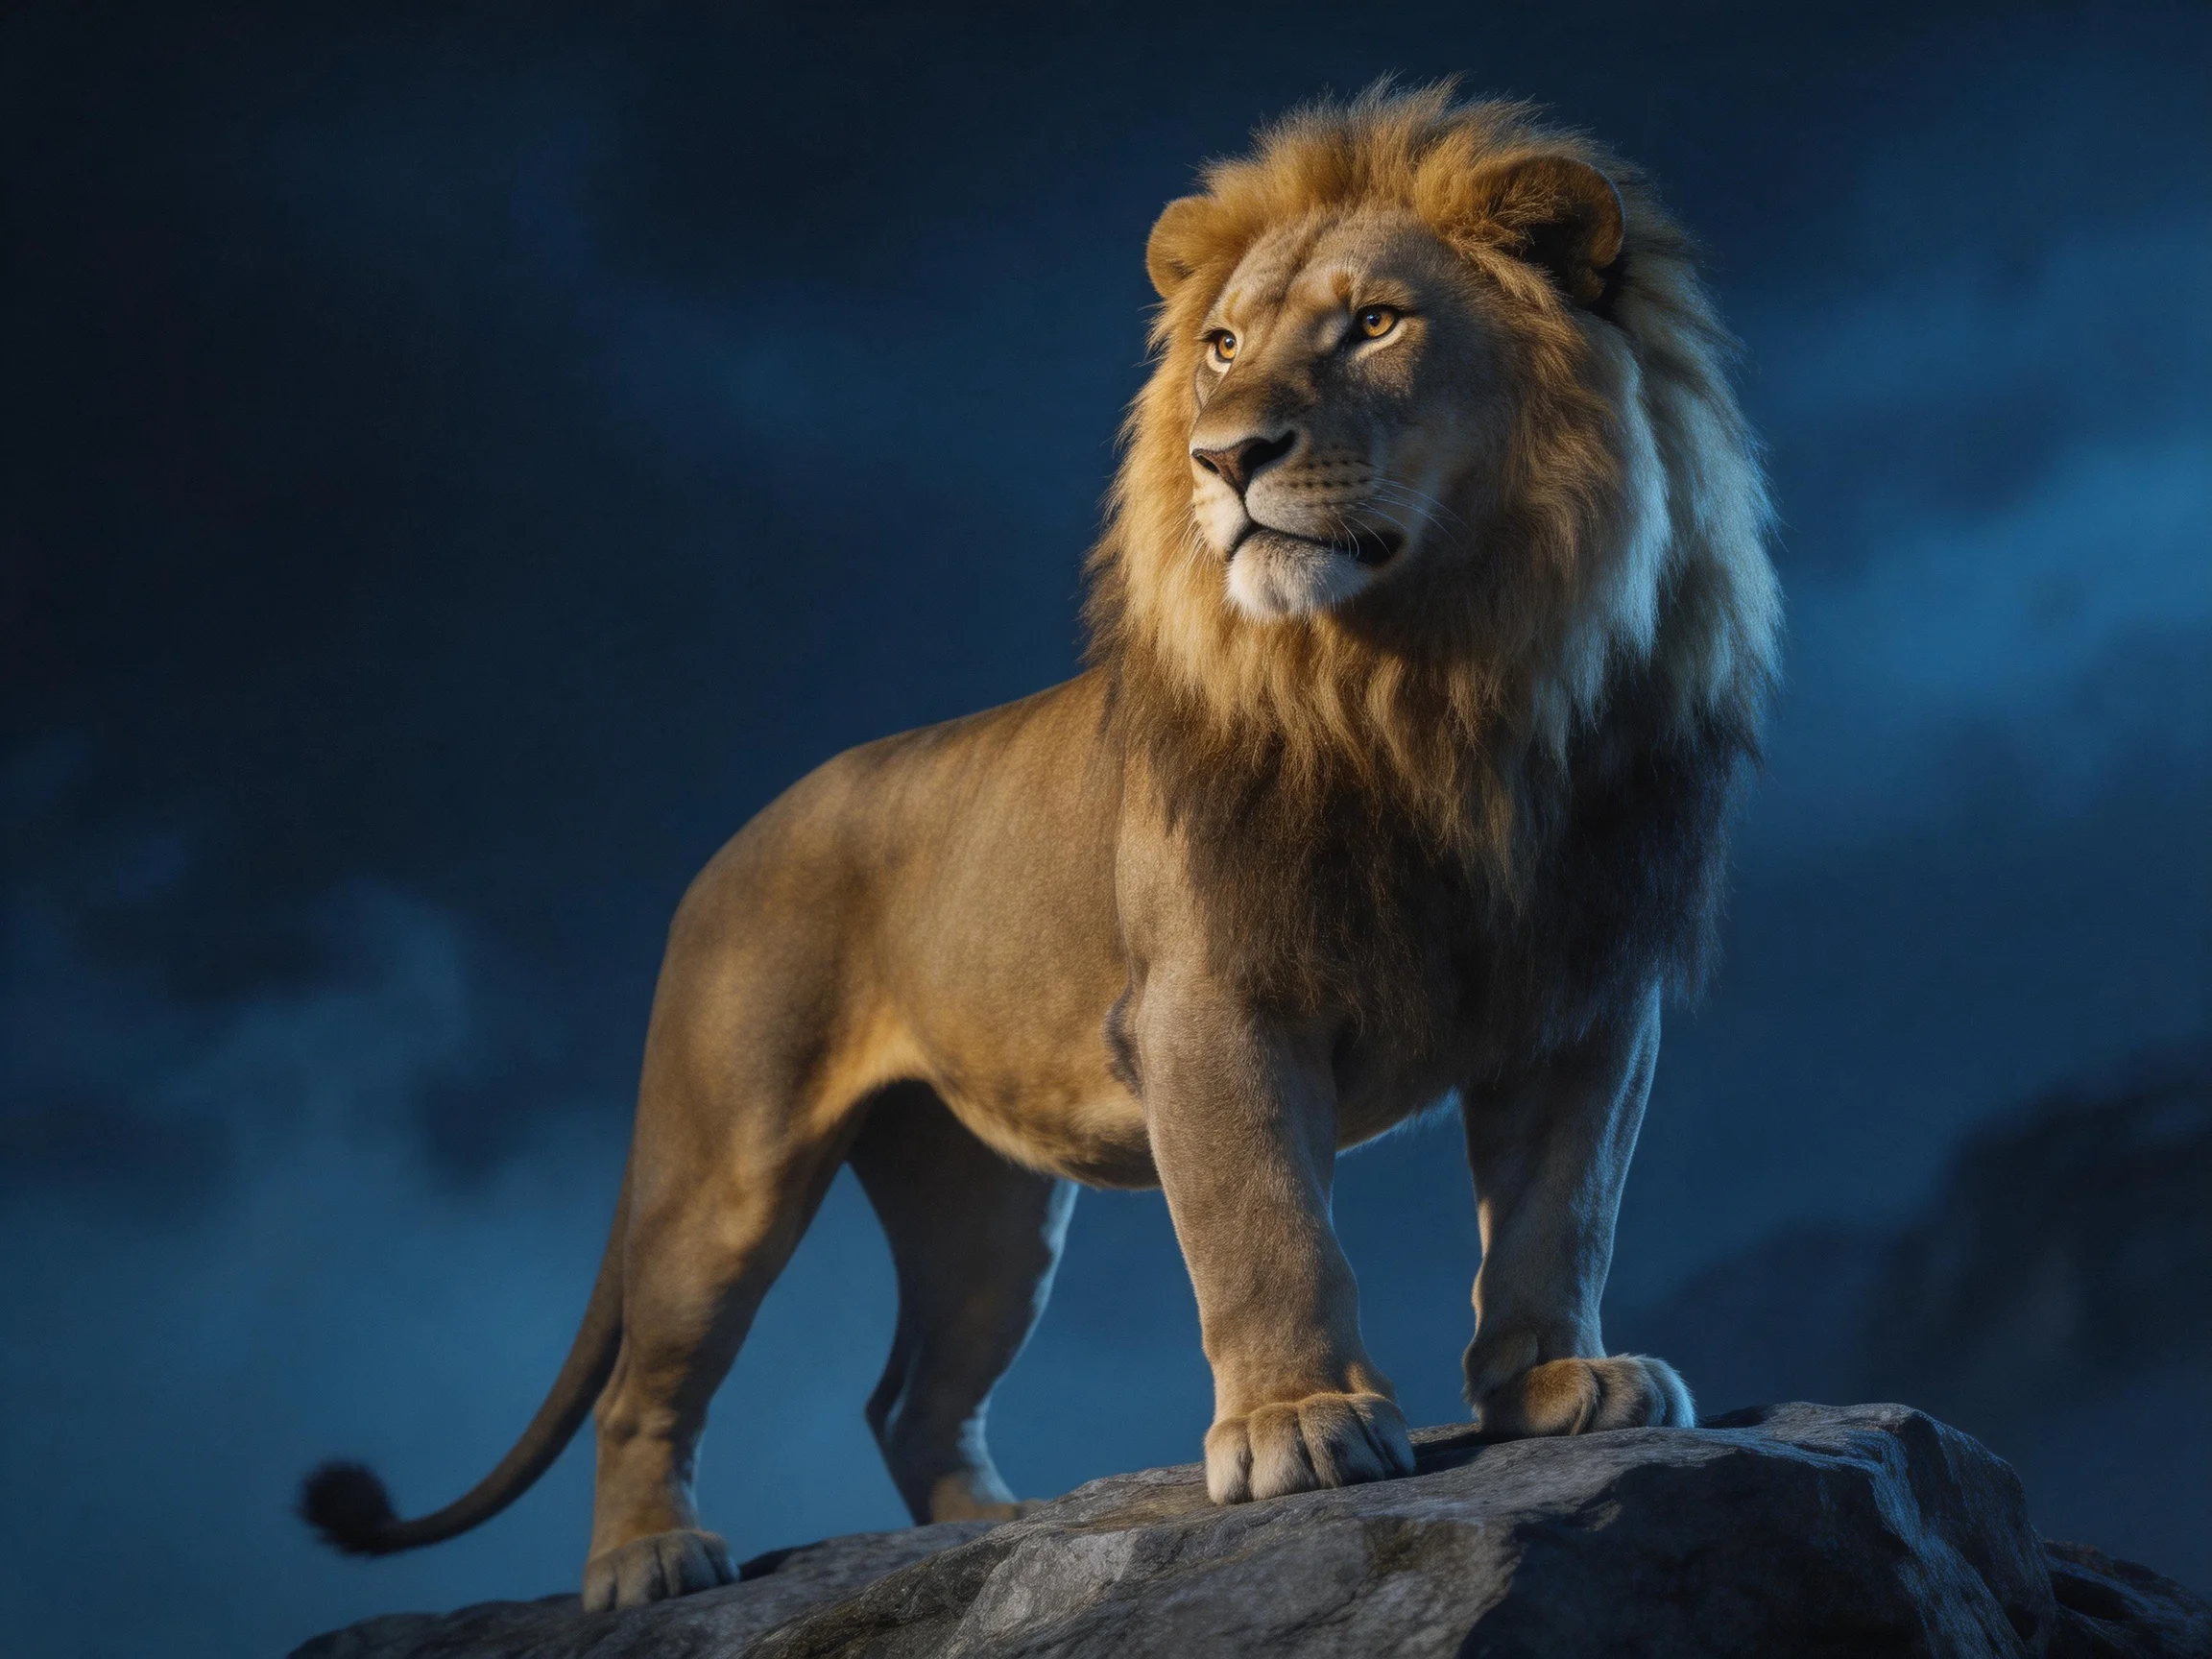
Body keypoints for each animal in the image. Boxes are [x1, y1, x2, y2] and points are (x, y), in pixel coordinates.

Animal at [301, 84, 1780, 1610]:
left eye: (1375, 323)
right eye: (1223, 348)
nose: (1224, 457)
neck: (1437, 682)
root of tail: (729, 844)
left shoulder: (1586, 996)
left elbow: (1559, 1209)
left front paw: (1553, 1384)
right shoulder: (1210, 1002)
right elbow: (1267, 1226)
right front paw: (1297, 1427)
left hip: (983, 1214)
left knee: (912, 1398)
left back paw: (984, 1533)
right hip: (727, 1168)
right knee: (646, 1386)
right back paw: (651, 1560)